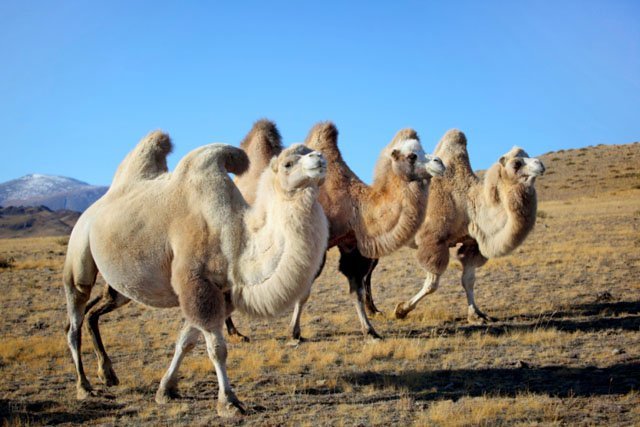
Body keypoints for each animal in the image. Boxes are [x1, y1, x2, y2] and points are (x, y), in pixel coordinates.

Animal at [63, 131, 330, 418]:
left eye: (310, 151)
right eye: (288, 163)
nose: (320, 157)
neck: (236, 237)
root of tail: (94, 207)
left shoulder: (221, 292)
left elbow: (186, 341)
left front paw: (165, 390)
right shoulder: (196, 284)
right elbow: (217, 349)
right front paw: (229, 402)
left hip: (121, 288)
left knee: (91, 313)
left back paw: (107, 375)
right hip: (79, 250)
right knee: (75, 317)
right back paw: (84, 386)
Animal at [229, 122, 444, 342]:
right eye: (412, 156)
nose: (439, 162)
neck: (354, 205)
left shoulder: (351, 245)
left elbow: (356, 290)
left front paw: (370, 331)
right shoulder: (316, 245)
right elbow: (304, 292)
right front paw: (294, 332)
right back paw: (235, 333)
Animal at [392, 130, 548, 324]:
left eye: (529, 155)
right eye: (517, 163)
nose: (540, 164)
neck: (467, 204)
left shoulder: (472, 243)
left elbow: (468, 280)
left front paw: (476, 314)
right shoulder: (433, 240)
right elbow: (432, 284)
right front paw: (401, 310)